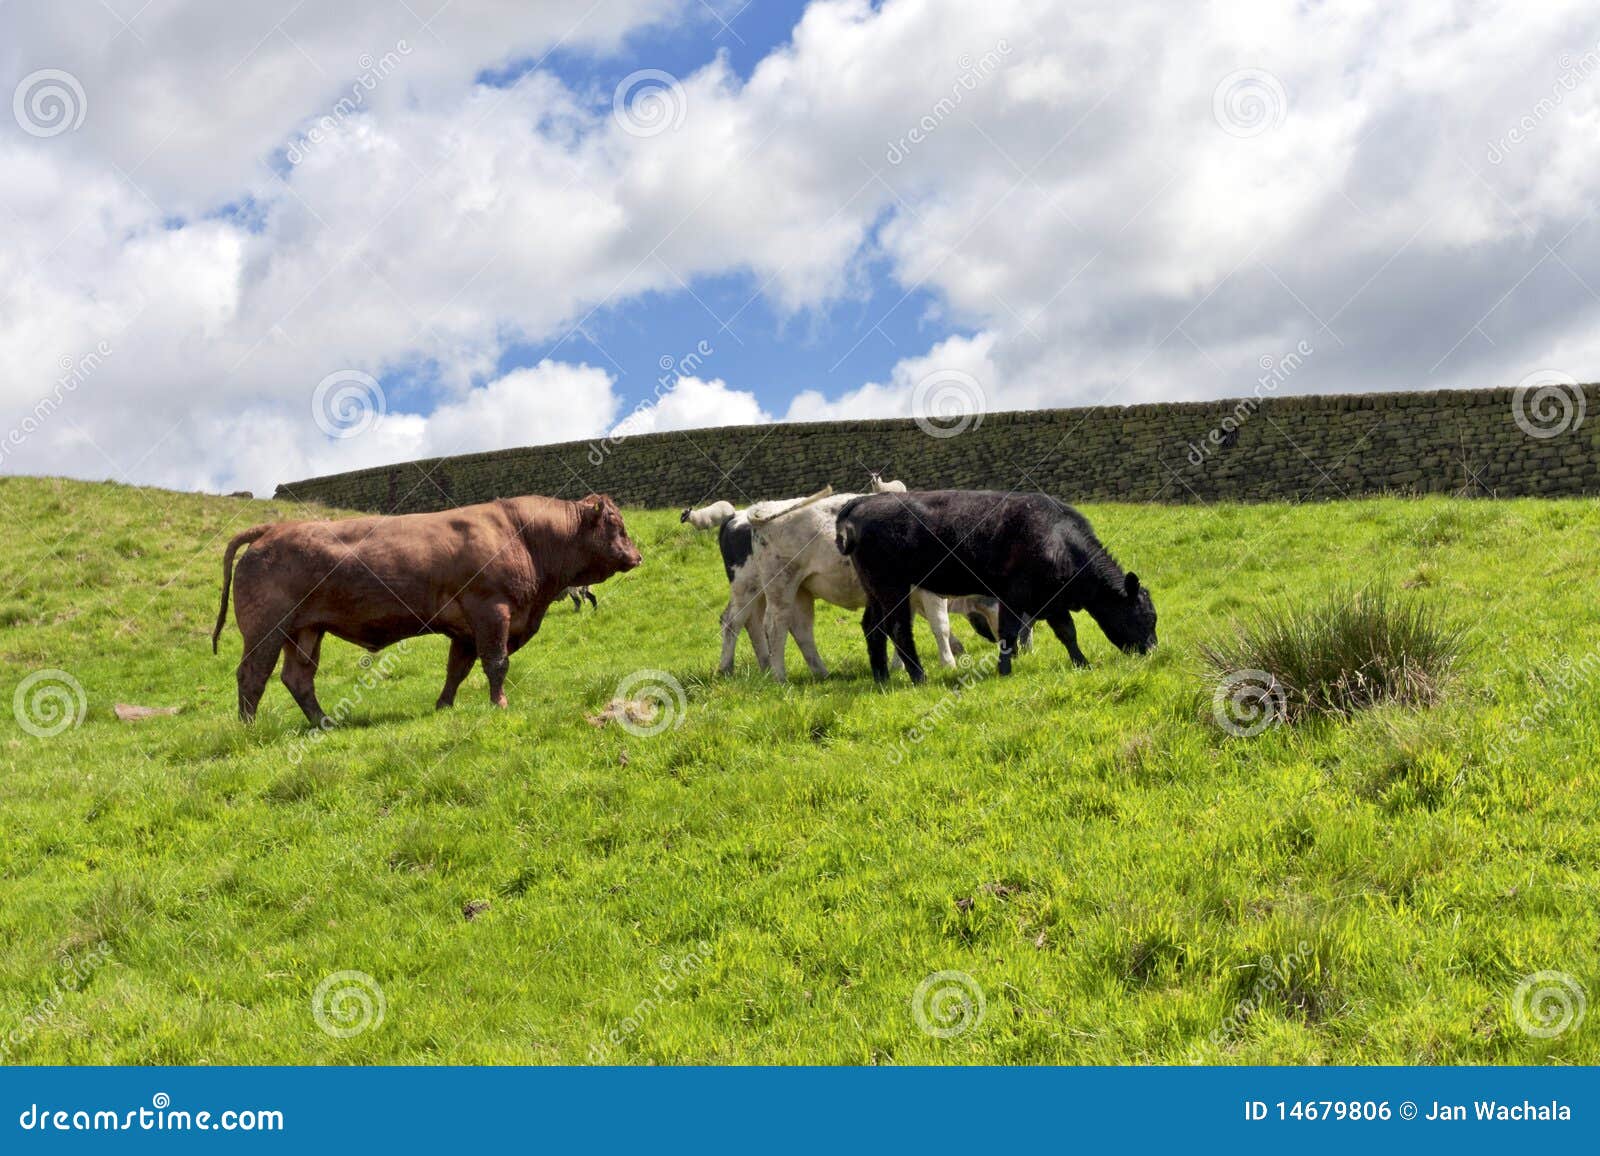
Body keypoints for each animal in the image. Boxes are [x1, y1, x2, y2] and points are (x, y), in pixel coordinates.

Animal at [212, 494, 642, 723]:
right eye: (616, 524)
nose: (636, 556)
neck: (523, 534)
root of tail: (272, 530)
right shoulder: (492, 612)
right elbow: (496, 664)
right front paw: (499, 703)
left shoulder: (465, 631)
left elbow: (457, 670)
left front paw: (443, 706)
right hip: (266, 631)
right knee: (252, 675)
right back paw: (249, 728)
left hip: (305, 632)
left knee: (298, 680)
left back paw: (325, 722)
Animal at [835, 490, 1156, 683]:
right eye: (1145, 617)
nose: (1153, 650)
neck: (1057, 539)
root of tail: (863, 501)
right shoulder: (1013, 596)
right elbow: (1009, 633)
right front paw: (1005, 670)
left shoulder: (1050, 599)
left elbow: (1067, 633)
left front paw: (1082, 664)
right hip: (892, 586)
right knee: (898, 628)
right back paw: (919, 677)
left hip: (874, 589)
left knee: (873, 627)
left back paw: (881, 677)